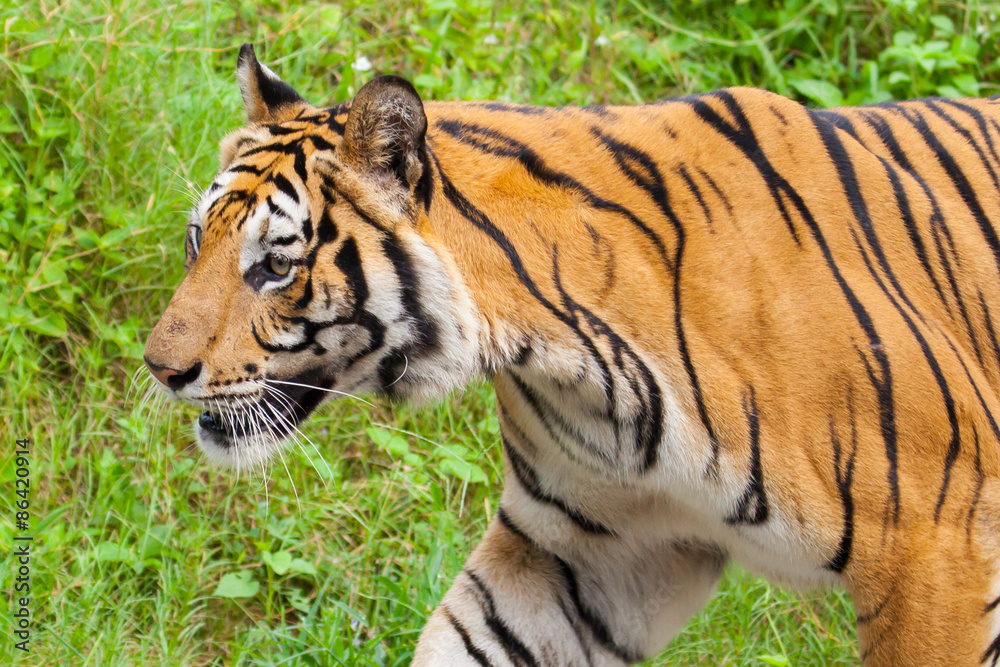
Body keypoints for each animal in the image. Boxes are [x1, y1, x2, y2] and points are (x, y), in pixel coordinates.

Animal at [143, 43, 1000, 665]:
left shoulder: (936, 552)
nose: (160, 368)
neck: (574, 364)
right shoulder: (584, 548)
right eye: (196, 239)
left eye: (274, 264)